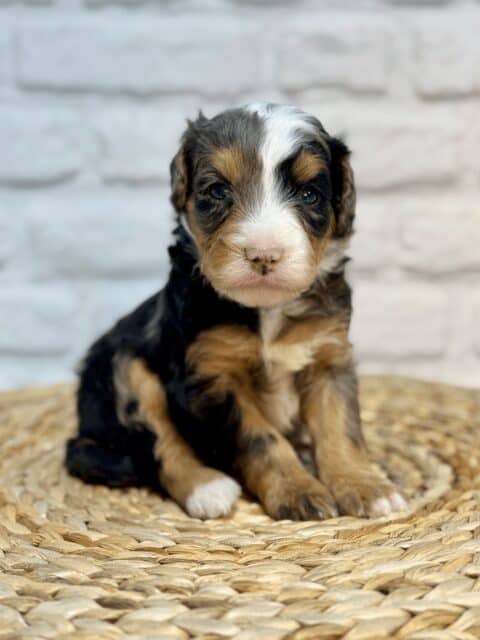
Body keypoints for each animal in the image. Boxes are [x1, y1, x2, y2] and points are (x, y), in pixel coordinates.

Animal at [65, 101, 406, 520]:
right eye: (217, 190)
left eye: (310, 194)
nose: (264, 254)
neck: (265, 310)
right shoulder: (211, 377)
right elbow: (260, 439)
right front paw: (298, 491)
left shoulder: (329, 356)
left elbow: (339, 426)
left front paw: (366, 487)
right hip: (126, 370)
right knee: (160, 445)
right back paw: (208, 489)